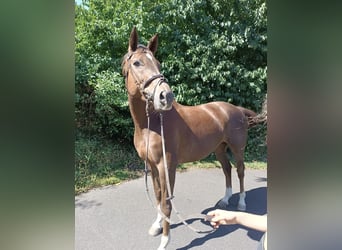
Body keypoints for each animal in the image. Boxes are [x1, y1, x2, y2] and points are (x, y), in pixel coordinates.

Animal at [122, 27, 256, 250]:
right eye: (137, 63)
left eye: (158, 63)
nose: (165, 96)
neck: (152, 124)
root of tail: (236, 109)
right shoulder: (152, 165)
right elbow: (158, 196)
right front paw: (157, 225)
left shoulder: (167, 165)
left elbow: (167, 202)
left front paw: (165, 241)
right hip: (219, 148)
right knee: (227, 170)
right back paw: (225, 200)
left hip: (237, 148)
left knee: (240, 171)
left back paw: (242, 203)